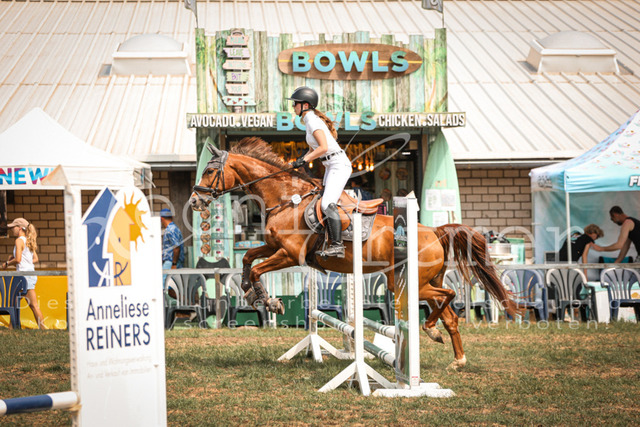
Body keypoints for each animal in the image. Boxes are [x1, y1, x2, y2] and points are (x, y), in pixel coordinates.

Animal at [190, 137, 519, 370]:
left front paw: (269, 301)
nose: (194, 201)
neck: (286, 199)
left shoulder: (289, 254)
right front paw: (250, 291)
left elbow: (258, 268)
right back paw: (456, 357)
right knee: (449, 314)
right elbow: (248, 259)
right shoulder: (274, 247)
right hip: (415, 281)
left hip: (412, 282)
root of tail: (434, 231)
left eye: (210, 171)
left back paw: (429, 330)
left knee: (448, 296)